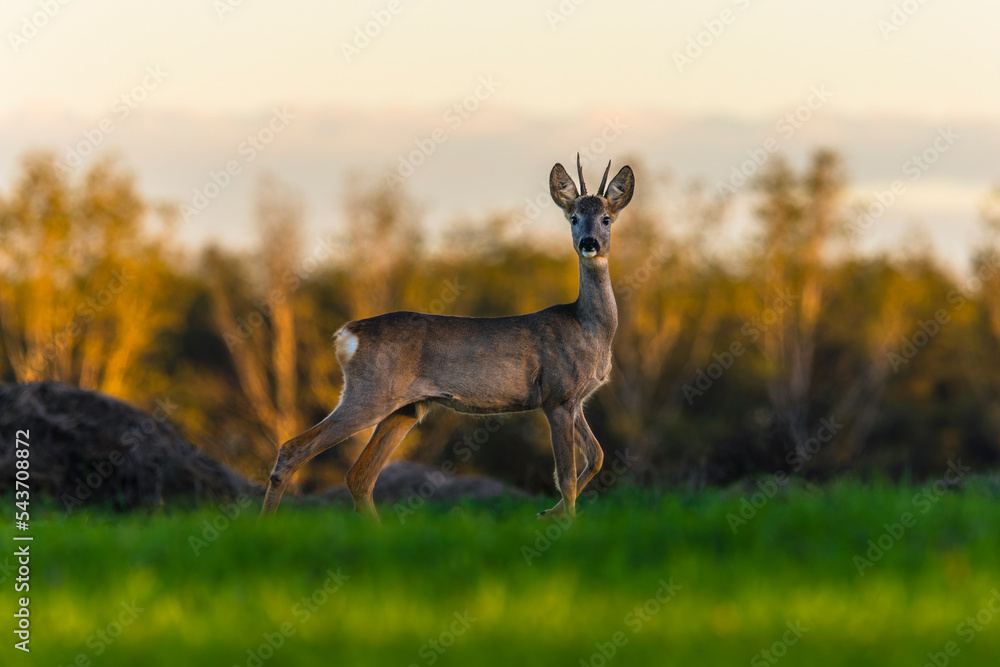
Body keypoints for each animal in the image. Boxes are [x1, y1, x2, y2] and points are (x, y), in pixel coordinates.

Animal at [260, 155, 635, 521]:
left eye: (606, 218)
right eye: (573, 218)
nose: (589, 243)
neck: (588, 328)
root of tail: (347, 334)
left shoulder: (576, 399)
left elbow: (597, 457)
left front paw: (547, 513)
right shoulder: (556, 394)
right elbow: (566, 477)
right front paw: (564, 524)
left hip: (405, 409)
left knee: (359, 476)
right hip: (370, 392)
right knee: (294, 449)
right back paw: (267, 524)